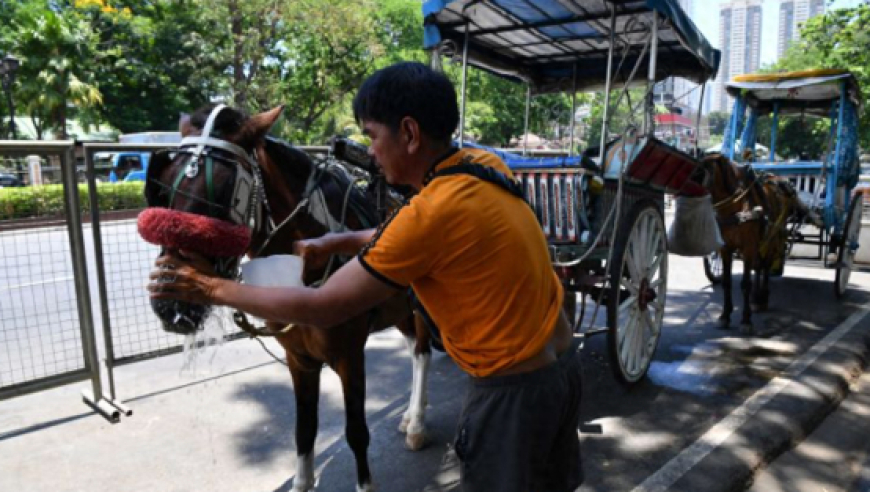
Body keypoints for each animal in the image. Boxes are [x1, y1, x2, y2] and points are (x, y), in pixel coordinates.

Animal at [145, 104, 434, 492]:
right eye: (163, 187)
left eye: (226, 191)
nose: (169, 304)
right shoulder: (299, 357)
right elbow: (304, 430)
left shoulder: (349, 354)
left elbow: (357, 433)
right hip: (398, 309)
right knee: (412, 346)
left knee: (422, 353)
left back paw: (417, 422)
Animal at [700, 154, 816, 334]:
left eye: (706, 172)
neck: (736, 207)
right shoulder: (726, 249)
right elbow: (727, 282)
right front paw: (724, 316)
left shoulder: (748, 247)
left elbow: (745, 283)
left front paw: (746, 320)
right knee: (759, 266)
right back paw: (757, 298)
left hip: (772, 238)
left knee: (765, 266)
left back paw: (763, 296)